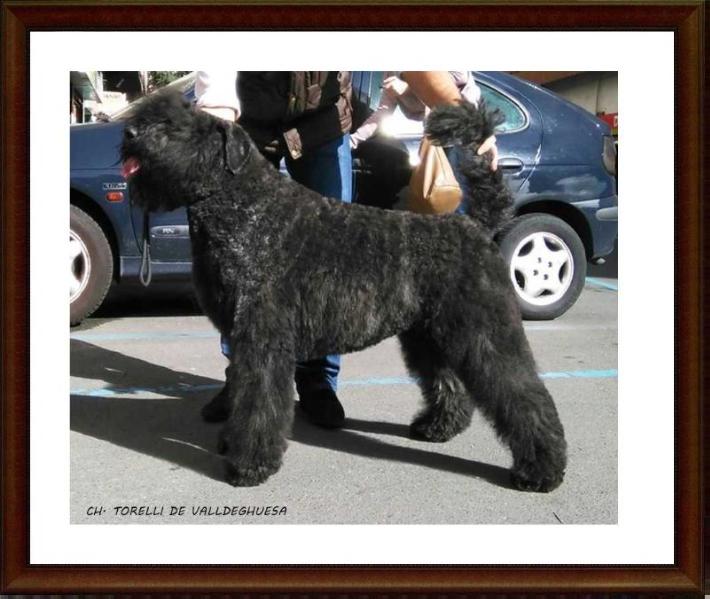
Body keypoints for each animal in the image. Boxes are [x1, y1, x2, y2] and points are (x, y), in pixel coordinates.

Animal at [122, 90, 568, 492]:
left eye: (177, 125)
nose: (129, 133)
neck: (245, 209)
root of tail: (474, 225)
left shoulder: (262, 341)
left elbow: (257, 402)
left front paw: (248, 465)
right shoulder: (242, 335)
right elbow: (240, 390)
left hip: (484, 332)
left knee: (523, 393)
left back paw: (541, 470)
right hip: (428, 335)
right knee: (447, 383)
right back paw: (437, 426)